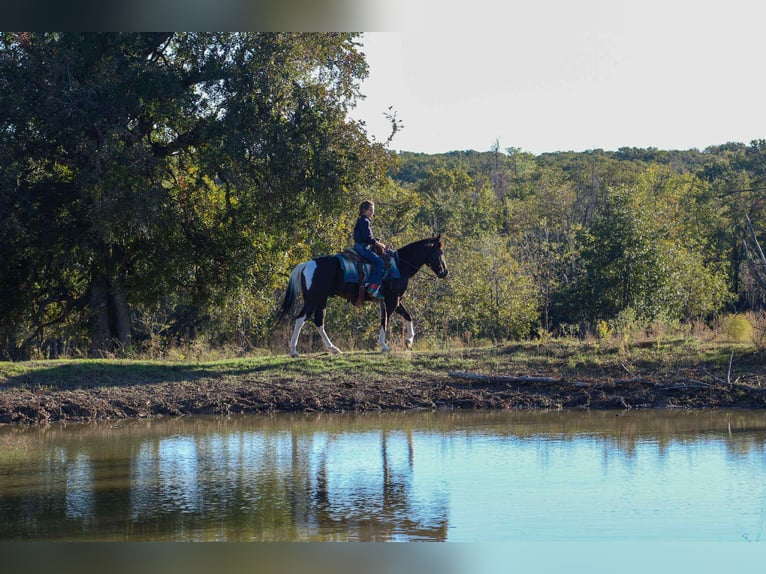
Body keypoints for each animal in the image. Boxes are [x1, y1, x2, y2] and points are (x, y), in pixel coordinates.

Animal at [279, 236, 448, 357]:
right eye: (440, 252)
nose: (444, 272)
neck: (400, 265)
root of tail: (307, 264)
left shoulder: (395, 300)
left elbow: (408, 316)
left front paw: (409, 341)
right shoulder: (391, 300)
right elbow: (385, 320)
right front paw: (384, 345)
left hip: (321, 300)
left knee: (319, 321)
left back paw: (333, 349)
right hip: (313, 299)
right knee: (301, 319)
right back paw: (293, 350)